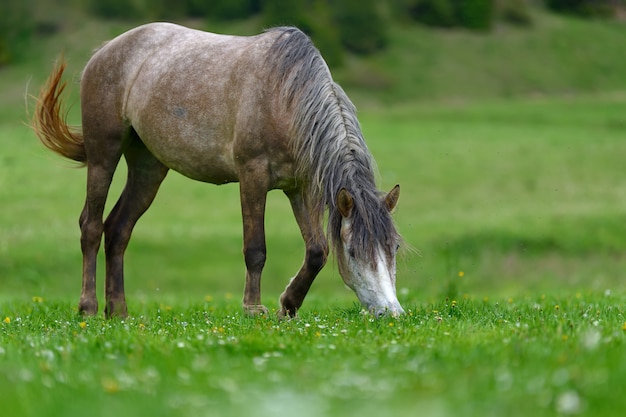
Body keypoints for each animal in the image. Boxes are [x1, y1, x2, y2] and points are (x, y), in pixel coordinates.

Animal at [33, 21, 404, 316]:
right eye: (354, 251)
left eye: (394, 248)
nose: (392, 312)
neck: (284, 100)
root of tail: (103, 52)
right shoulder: (253, 178)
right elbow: (255, 249)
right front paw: (254, 308)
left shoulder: (299, 188)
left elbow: (317, 251)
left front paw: (288, 305)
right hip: (103, 154)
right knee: (91, 226)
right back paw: (89, 307)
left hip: (148, 167)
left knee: (118, 229)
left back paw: (119, 311)